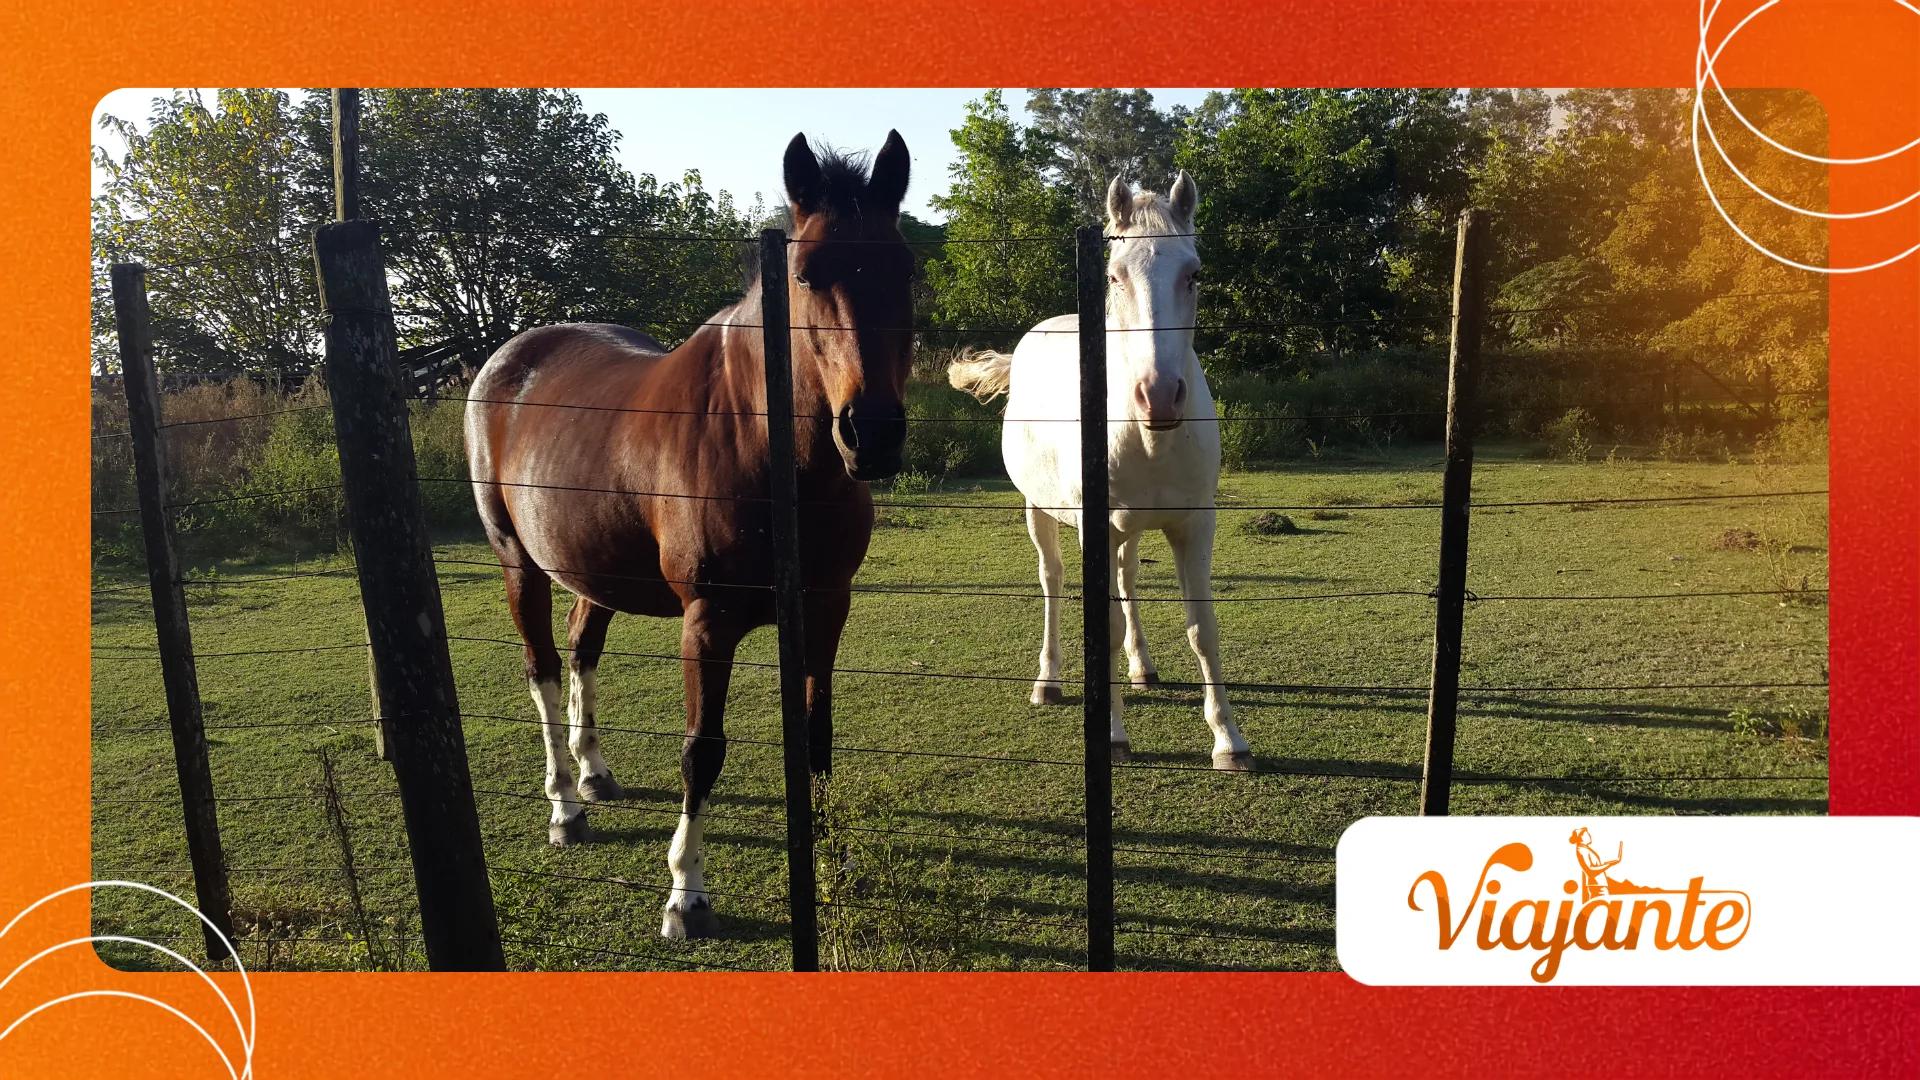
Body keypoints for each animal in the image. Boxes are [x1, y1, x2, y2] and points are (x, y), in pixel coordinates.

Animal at [465, 131, 915, 938]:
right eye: (806, 274)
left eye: (907, 270)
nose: (873, 434)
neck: (764, 444)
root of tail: (505, 362)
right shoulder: (707, 623)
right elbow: (702, 750)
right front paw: (685, 892)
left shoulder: (827, 608)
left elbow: (818, 730)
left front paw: (826, 853)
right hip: (519, 566)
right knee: (542, 669)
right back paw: (565, 806)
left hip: (593, 572)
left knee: (581, 649)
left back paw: (594, 773)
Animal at [948, 172, 1251, 771]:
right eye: (1114, 274)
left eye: (1194, 273)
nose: (1160, 396)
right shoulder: (1094, 526)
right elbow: (1102, 628)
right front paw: (1112, 735)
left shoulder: (1194, 523)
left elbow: (1203, 629)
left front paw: (1229, 740)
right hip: (1041, 512)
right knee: (1053, 579)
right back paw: (1049, 681)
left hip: (1126, 528)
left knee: (1128, 576)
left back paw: (1143, 668)